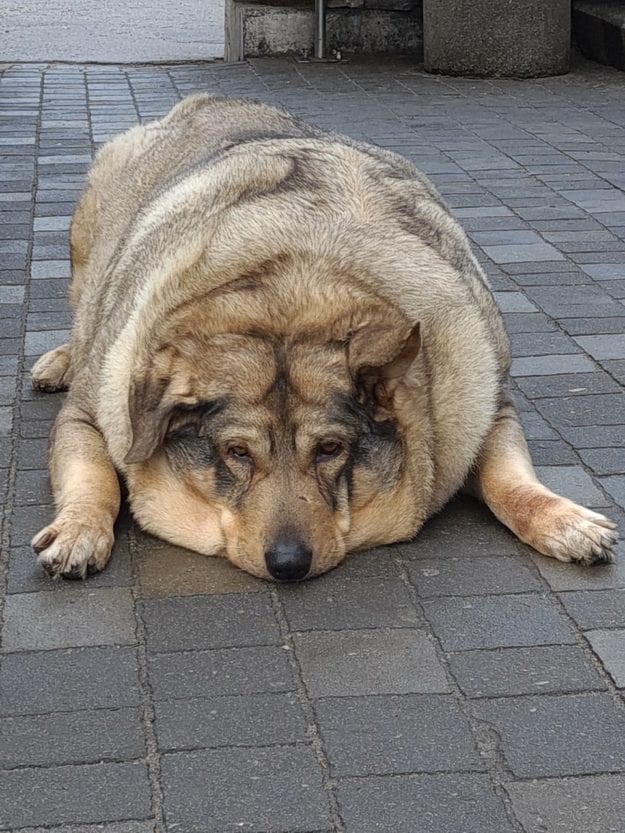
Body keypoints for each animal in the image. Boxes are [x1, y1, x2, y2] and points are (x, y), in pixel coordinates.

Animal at [29, 94, 616, 580]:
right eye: (236, 453)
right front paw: (80, 531)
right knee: (83, 309)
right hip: (90, 227)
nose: (288, 563)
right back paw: (61, 359)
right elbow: (95, 478)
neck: (296, 289)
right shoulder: (90, 413)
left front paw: (565, 521)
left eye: (331, 449)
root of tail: (213, 98)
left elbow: (510, 479)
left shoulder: (489, 408)